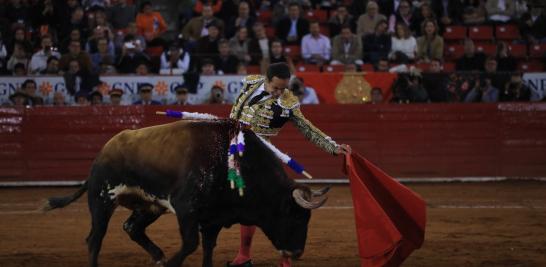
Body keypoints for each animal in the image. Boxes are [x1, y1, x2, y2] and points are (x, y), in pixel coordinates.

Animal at [43, 121, 328, 267]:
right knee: (95, 238)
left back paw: (158, 256)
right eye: (296, 217)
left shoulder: (214, 218)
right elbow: (191, 243)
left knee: (131, 227)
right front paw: (172, 265)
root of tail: (103, 152)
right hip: (102, 199)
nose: (296, 252)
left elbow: (208, 248)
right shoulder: (186, 209)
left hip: (148, 205)